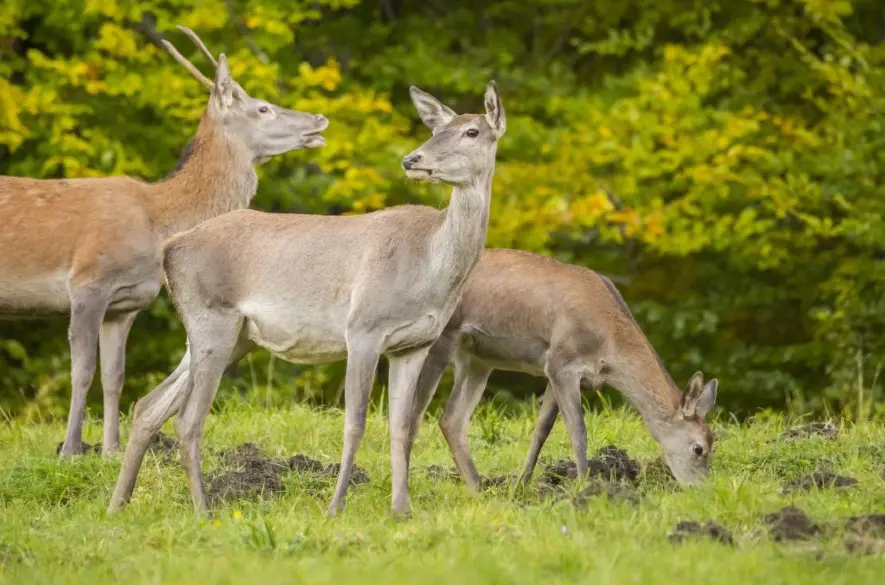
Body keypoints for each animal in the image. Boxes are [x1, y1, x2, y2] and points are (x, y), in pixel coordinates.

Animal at [0, 26, 328, 456]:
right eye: (263, 109)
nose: (319, 118)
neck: (157, 222)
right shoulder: (87, 281)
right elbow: (82, 370)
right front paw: (70, 450)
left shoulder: (126, 303)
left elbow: (115, 376)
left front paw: (110, 449)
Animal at [105, 81, 504, 516]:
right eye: (436, 130)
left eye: (471, 131)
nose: (411, 159)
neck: (429, 272)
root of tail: (170, 249)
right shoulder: (363, 328)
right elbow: (355, 423)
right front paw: (336, 507)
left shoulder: (414, 345)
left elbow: (402, 424)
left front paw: (401, 509)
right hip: (212, 318)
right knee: (188, 419)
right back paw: (203, 509)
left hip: (229, 335)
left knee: (150, 405)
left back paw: (118, 504)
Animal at [408, 250, 720, 488]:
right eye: (699, 448)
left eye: (712, 442)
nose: (703, 489)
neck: (608, 347)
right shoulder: (562, 362)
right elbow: (577, 429)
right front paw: (584, 485)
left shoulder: (554, 370)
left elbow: (542, 427)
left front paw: (522, 483)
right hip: (440, 338)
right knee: (415, 413)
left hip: (477, 358)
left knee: (451, 419)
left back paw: (477, 488)